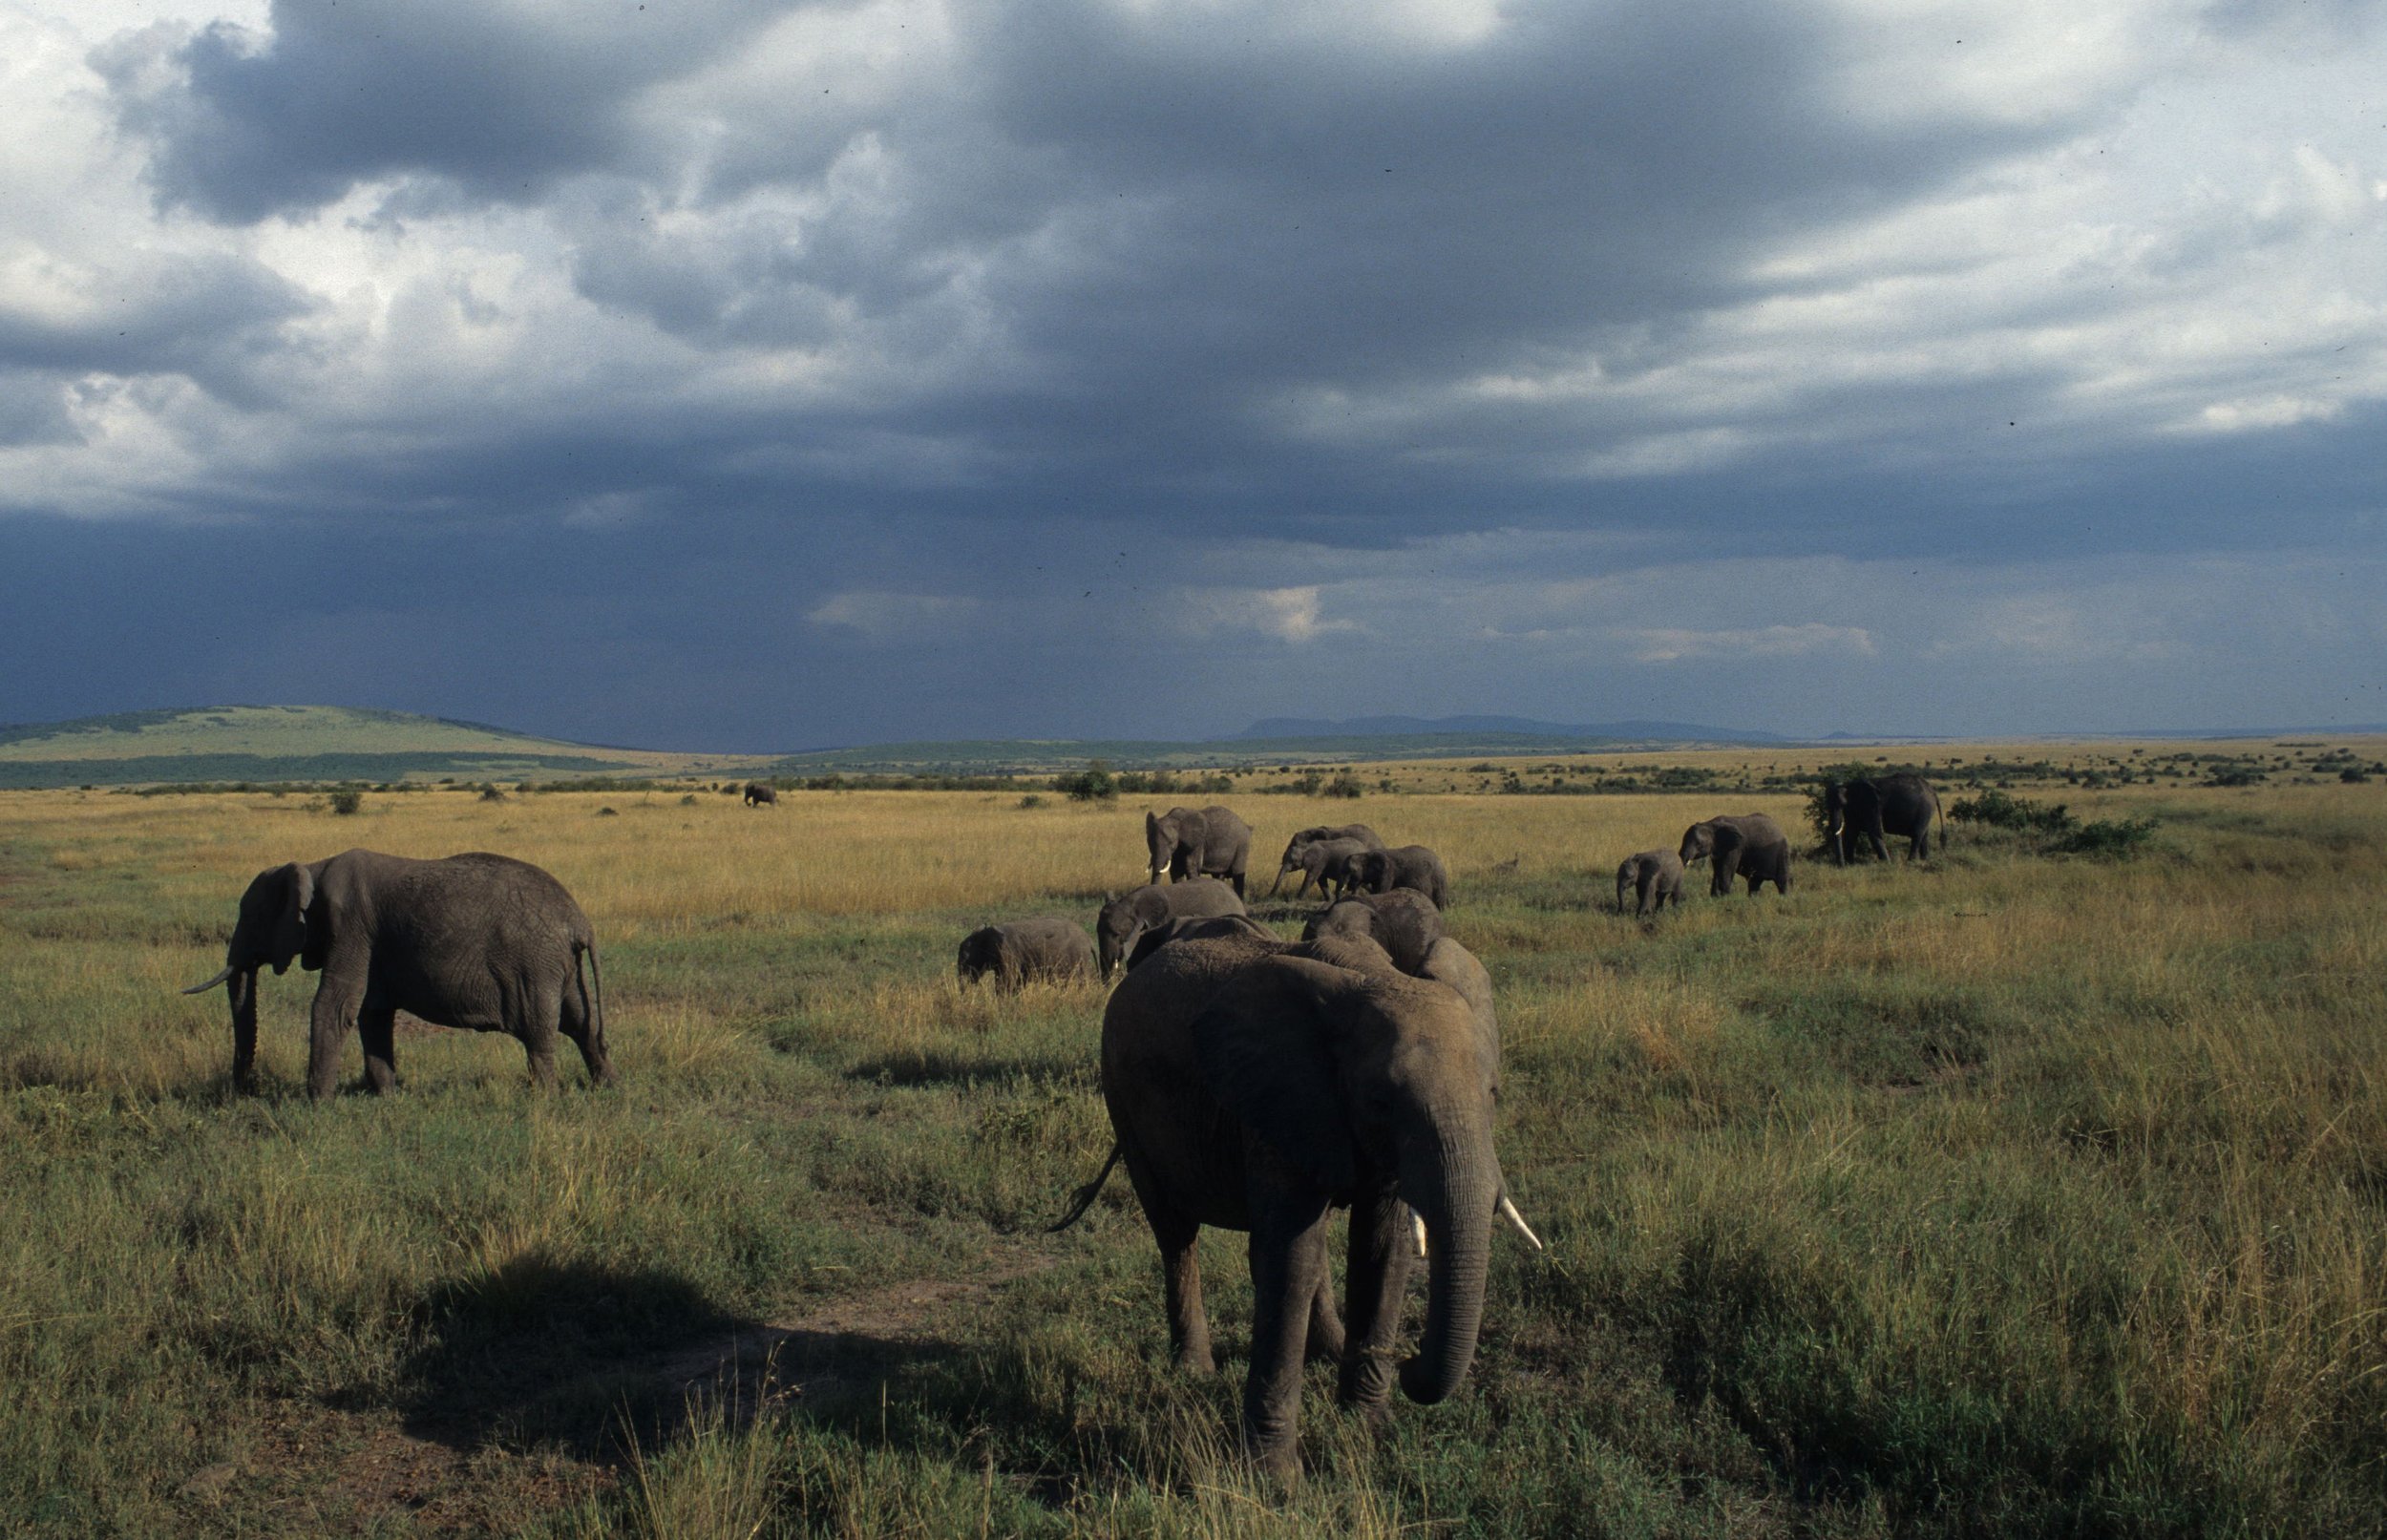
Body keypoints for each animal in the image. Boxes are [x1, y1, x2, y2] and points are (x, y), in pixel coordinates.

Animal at [181, 849, 612, 1099]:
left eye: (252, 916)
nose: (244, 1090)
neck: (312, 865)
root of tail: (581, 922)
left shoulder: (350, 927)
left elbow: (334, 1006)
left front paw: (316, 1103)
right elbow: (372, 1014)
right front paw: (386, 1098)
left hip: (534, 965)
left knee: (541, 1034)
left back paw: (546, 1099)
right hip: (560, 966)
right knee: (582, 1024)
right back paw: (606, 1087)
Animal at [1066, 927, 1535, 1480]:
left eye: (1493, 1093)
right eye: (1380, 1102)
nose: (1409, 1363)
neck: (1374, 978)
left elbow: (1381, 1251)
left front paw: (1368, 1431)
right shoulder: (1281, 1095)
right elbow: (1290, 1261)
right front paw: (1274, 1479)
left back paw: (1325, 1353)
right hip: (1123, 1098)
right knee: (1176, 1233)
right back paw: (1195, 1372)